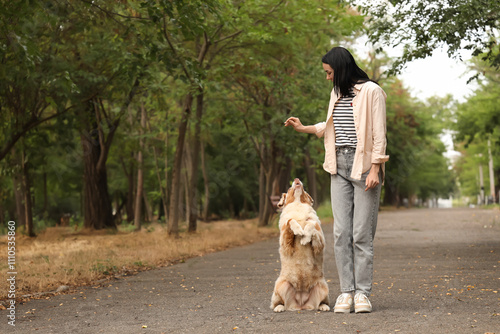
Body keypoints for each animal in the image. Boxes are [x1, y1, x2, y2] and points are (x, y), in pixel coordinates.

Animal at [272, 179, 330, 312]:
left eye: (304, 189)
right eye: (289, 189)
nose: (297, 179)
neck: (298, 205)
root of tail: (301, 304)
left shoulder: (320, 242)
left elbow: (311, 224)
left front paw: (305, 238)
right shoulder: (285, 242)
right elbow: (291, 221)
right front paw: (298, 230)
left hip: (323, 287)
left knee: (321, 302)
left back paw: (323, 306)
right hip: (280, 285)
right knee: (279, 302)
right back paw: (279, 307)